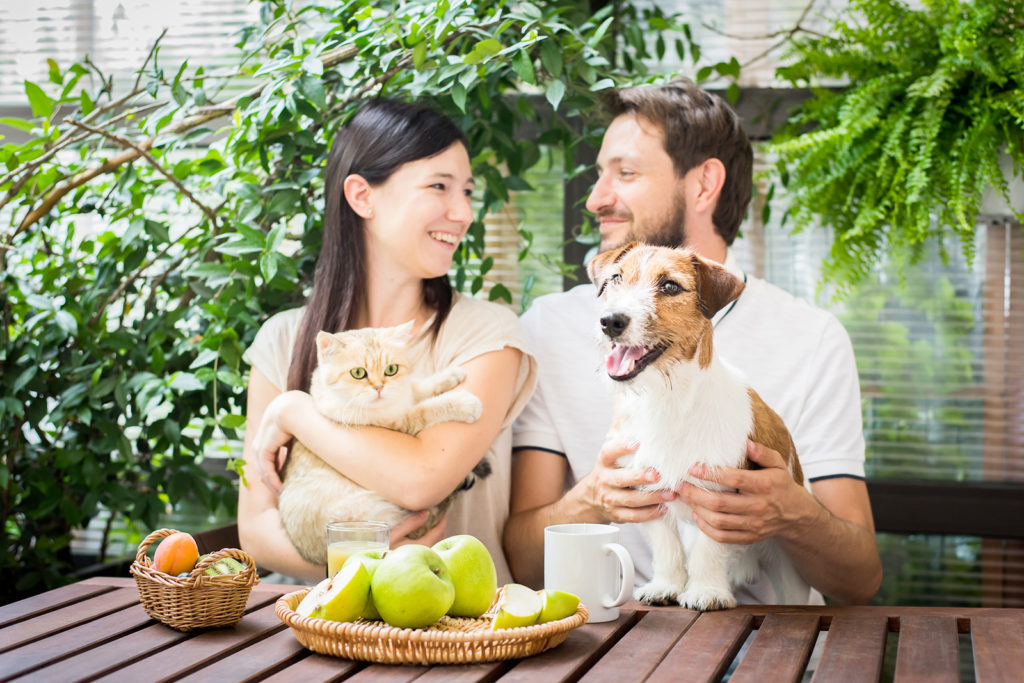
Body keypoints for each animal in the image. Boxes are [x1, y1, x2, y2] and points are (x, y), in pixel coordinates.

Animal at [278, 321, 485, 565]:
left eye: (391, 369)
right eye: (358, 373)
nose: (379, 388)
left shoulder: (405, 391)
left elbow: (417, 387)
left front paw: (450, 375)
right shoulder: (400, 424)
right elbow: (428, 409)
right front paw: (464, 402)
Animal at [593, 242, 806, 610]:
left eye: (669, 286)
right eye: (616, 278)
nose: (611, 321)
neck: (666, 400)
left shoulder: (718, 497)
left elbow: (709, 549)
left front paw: (707, 591)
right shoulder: (646, 490)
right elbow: (666, 547)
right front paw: (666, 586)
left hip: (787, 565)